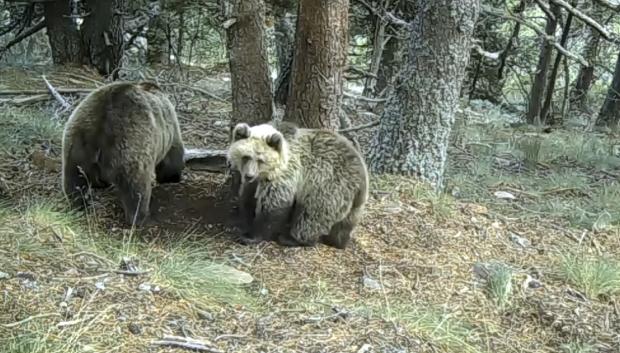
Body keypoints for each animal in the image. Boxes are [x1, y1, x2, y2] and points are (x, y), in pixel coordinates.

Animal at [61, 80, 185, 223]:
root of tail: (98, 133)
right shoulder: (169, 126)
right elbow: (172, 157)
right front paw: (172, 177)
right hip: (131, 150)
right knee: (136, 188)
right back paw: (139, 216)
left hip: (75, 145)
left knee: (74, 180)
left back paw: (78, 205)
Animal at [228, 121, 368, 248]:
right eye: (246, 156)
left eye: (260, 160)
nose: (249, 175)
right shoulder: (255, 181)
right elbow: (248, 197)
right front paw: (244, 218)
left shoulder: (286, 173)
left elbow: (274, 203)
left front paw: (251, 236)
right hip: (353, 205)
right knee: (344, 224)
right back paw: (338, 241)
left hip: (328, 185)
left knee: (312, 214)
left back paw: (292, 239)